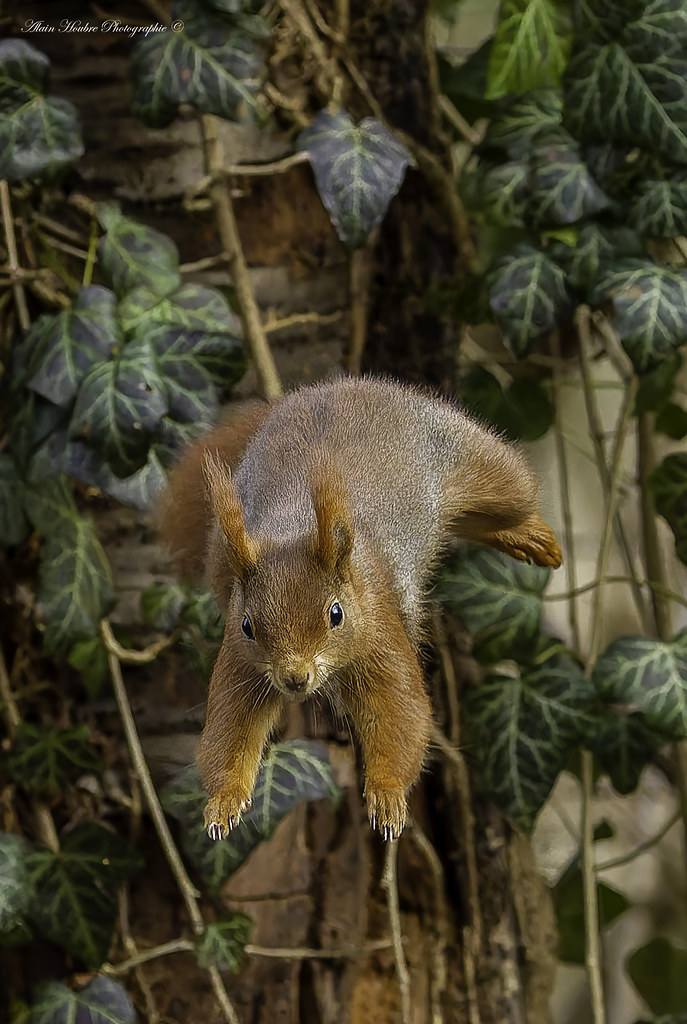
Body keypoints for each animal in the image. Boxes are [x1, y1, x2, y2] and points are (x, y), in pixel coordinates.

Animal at [161, 376, 565, 839]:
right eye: (248, 626)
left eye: (336, 614)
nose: (294, 678)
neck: (294, 530)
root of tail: (318, 389)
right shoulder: (241, 660)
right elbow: (229, 728)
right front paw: (223, 801)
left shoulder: (380, 632)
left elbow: (400, 710)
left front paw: (387, 795)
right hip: (219, 564)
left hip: (472, 457)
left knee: (510, 496)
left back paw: (534, 538)